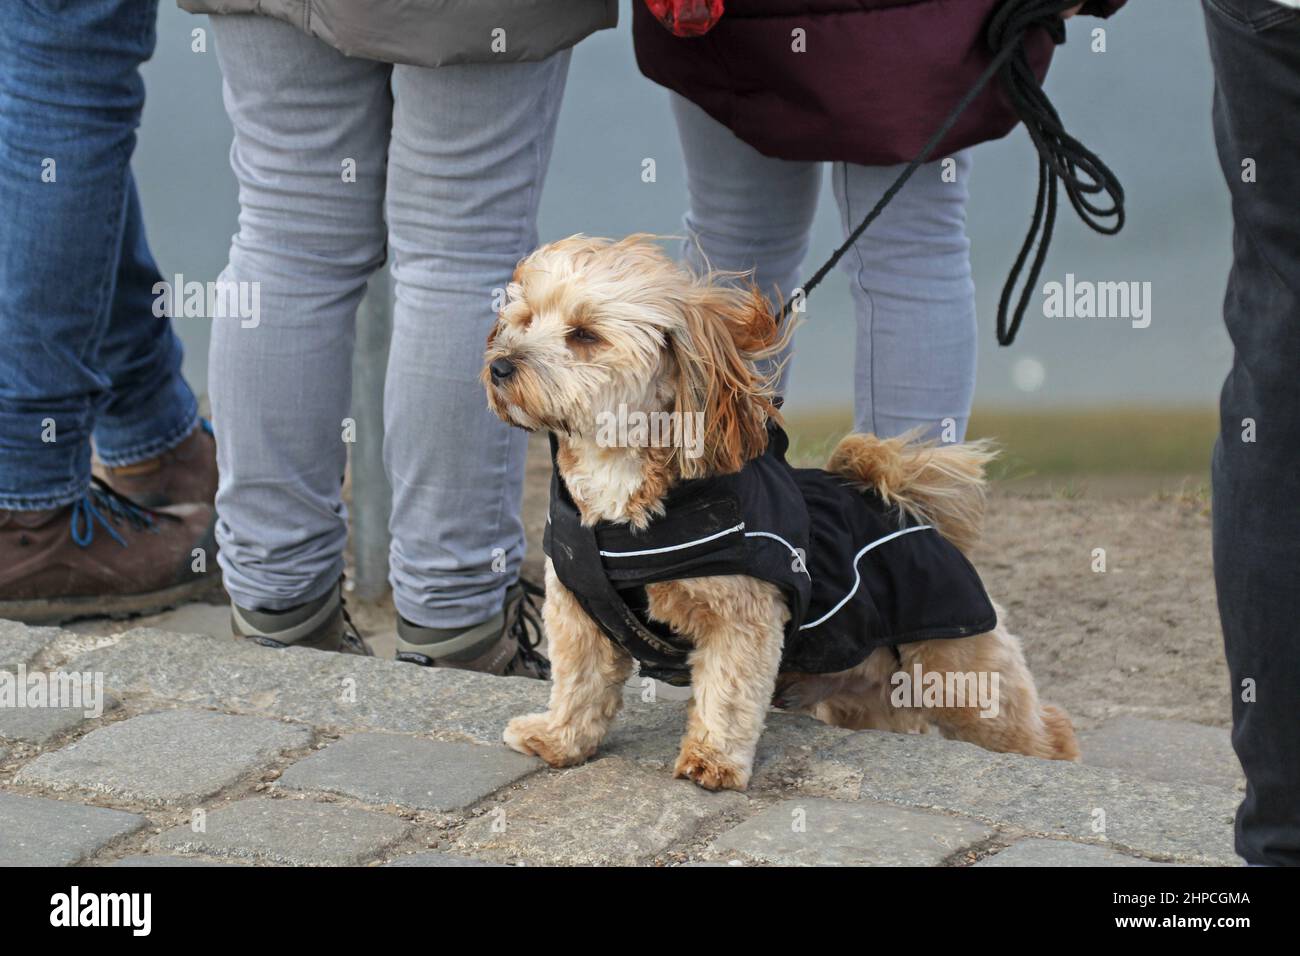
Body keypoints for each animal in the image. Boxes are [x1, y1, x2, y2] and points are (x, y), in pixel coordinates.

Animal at [486, 234, 1076, 790]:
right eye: (524, 318)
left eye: (585, 335)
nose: (499, 365)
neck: (622, 491)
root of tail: (911, 510)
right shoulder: (577, 611)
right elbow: (579, 684)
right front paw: (558, 738)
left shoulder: (741, 617)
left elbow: (728, 694)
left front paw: (712, 760)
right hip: (866, 689)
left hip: (957, 670)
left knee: (1043, 729)